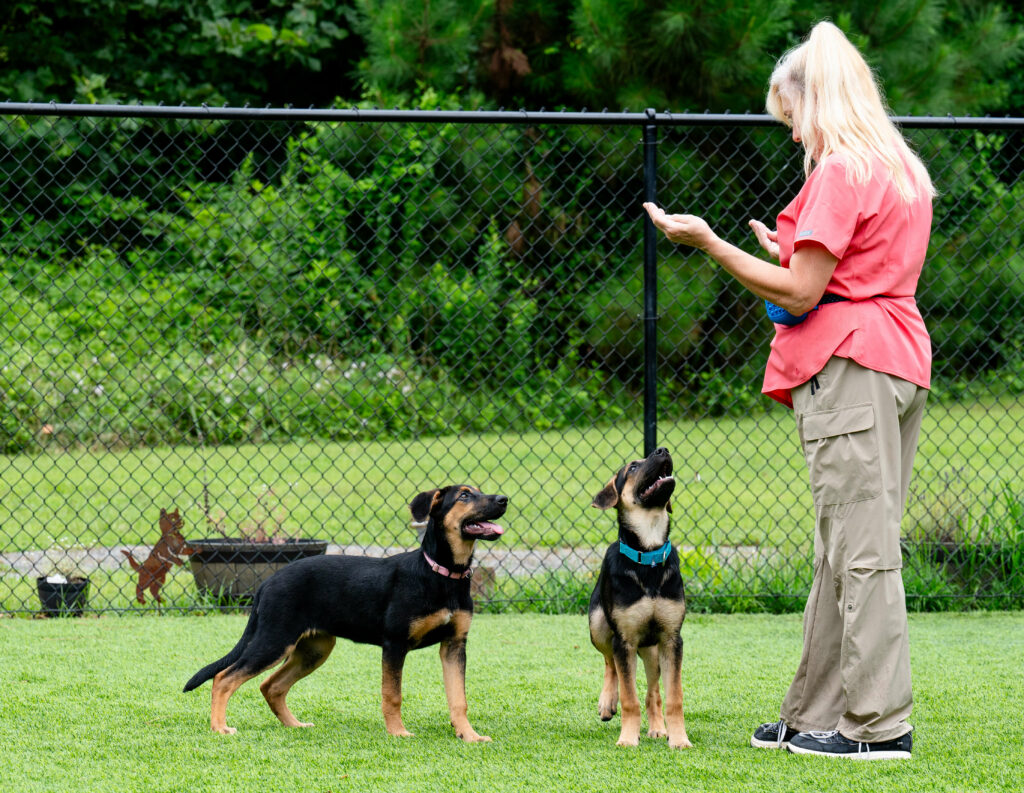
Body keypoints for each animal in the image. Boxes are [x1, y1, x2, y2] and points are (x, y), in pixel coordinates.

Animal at [184, 487, 507, 741]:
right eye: (464, 495)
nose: (504, 499)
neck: (441, 574)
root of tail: (268, 582)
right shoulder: (395, 644)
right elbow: (393, 695)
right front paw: (398, 733)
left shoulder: (454, 645)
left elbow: (459, 699)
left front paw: (469, 735)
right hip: (275, 639)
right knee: (224, 677)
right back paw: (219, 728)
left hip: (314, 648)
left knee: (270, 686)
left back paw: (294, 725)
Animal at [589, 446, 692, 749]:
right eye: (633, 467)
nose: (663, 449)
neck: (648, 555)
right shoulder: (624, 639)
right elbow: (629, 697)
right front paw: (627, 738)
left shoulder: (671, 639)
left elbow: (673, 698)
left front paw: (679, 739)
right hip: (599, 626)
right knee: (609, 663)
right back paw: (607, 702)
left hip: (652, 648)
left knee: (654, 691)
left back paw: (658, 728)